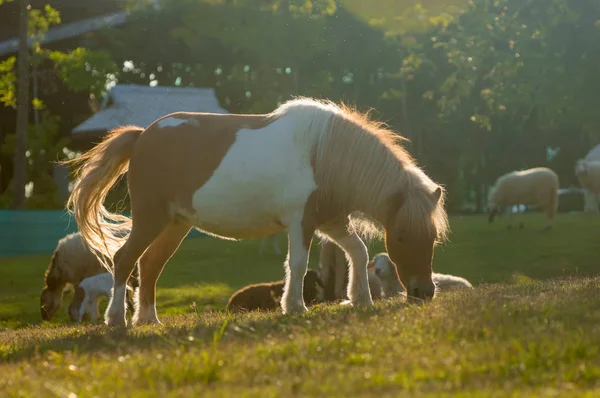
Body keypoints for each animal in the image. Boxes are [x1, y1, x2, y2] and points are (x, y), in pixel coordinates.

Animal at [65, 97, 450, 326]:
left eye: (432, 237)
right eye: (402, 236)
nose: (424, 292)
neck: (324, 154)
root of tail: (143, 134)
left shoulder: (331, 221)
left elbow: (358, 252)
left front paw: (360, 299)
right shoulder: (301, 222)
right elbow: (298, 264)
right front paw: (294, 307)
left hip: (174, 225)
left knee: (149, 265)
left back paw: (147, 320)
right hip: (150, 219)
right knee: (124, 260)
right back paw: (117, 320)